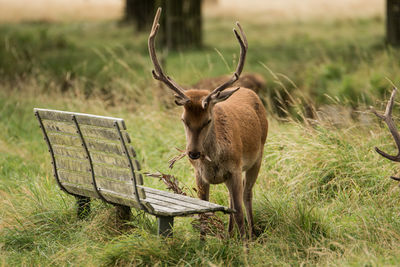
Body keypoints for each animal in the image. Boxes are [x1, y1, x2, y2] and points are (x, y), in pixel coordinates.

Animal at [148, 7, 268, 239]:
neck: (214, 161)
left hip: (257, 156)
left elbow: (239, 213)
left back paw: (251, 233)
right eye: (183, 120)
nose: (193, 153)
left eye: (208, 120)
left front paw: (244, 245)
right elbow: (203, 212)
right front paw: (203, 243)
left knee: (247, 196)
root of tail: (250, 91)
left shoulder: (235, 168)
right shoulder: (200, 175)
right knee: (232, 200)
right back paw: (229, 236)